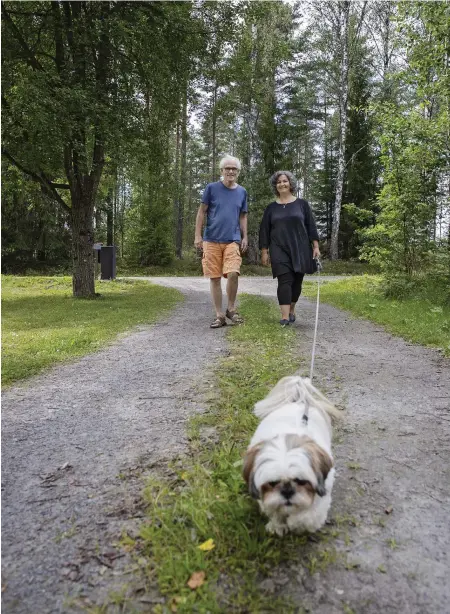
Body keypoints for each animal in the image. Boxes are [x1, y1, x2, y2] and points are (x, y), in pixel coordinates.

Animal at [244, 376, 340, 536]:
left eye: (301, 481)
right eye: (272, 483)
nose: (287, 491)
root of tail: (299, 401)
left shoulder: (321, 497)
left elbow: (306, 517)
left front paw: (295, 523)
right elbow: (274, 509)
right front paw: (277, 526)